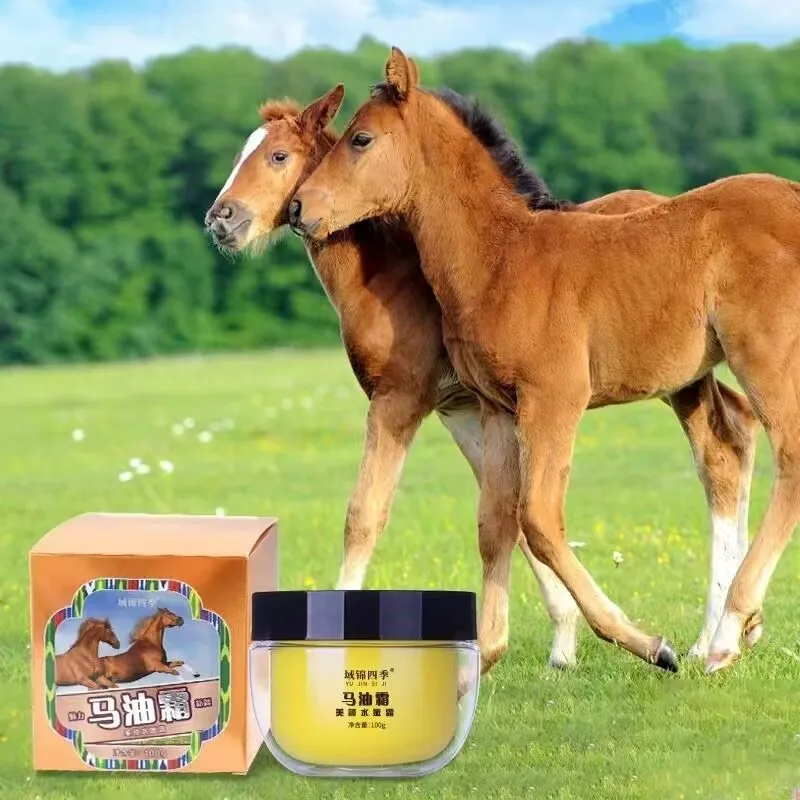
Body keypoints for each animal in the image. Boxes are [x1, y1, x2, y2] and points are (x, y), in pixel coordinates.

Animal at [205, 86, 758, 675]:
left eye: (278, 156)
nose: (221, 219)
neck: (394, 277)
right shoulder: (466, 409)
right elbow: (508, 515)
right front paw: (562, 643)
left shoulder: (401, 399)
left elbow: (367, 513)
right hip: (687, 376)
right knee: (737, 431)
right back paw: (738, 628)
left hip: (679, 380)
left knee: (719, 454)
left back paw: (711, 636)